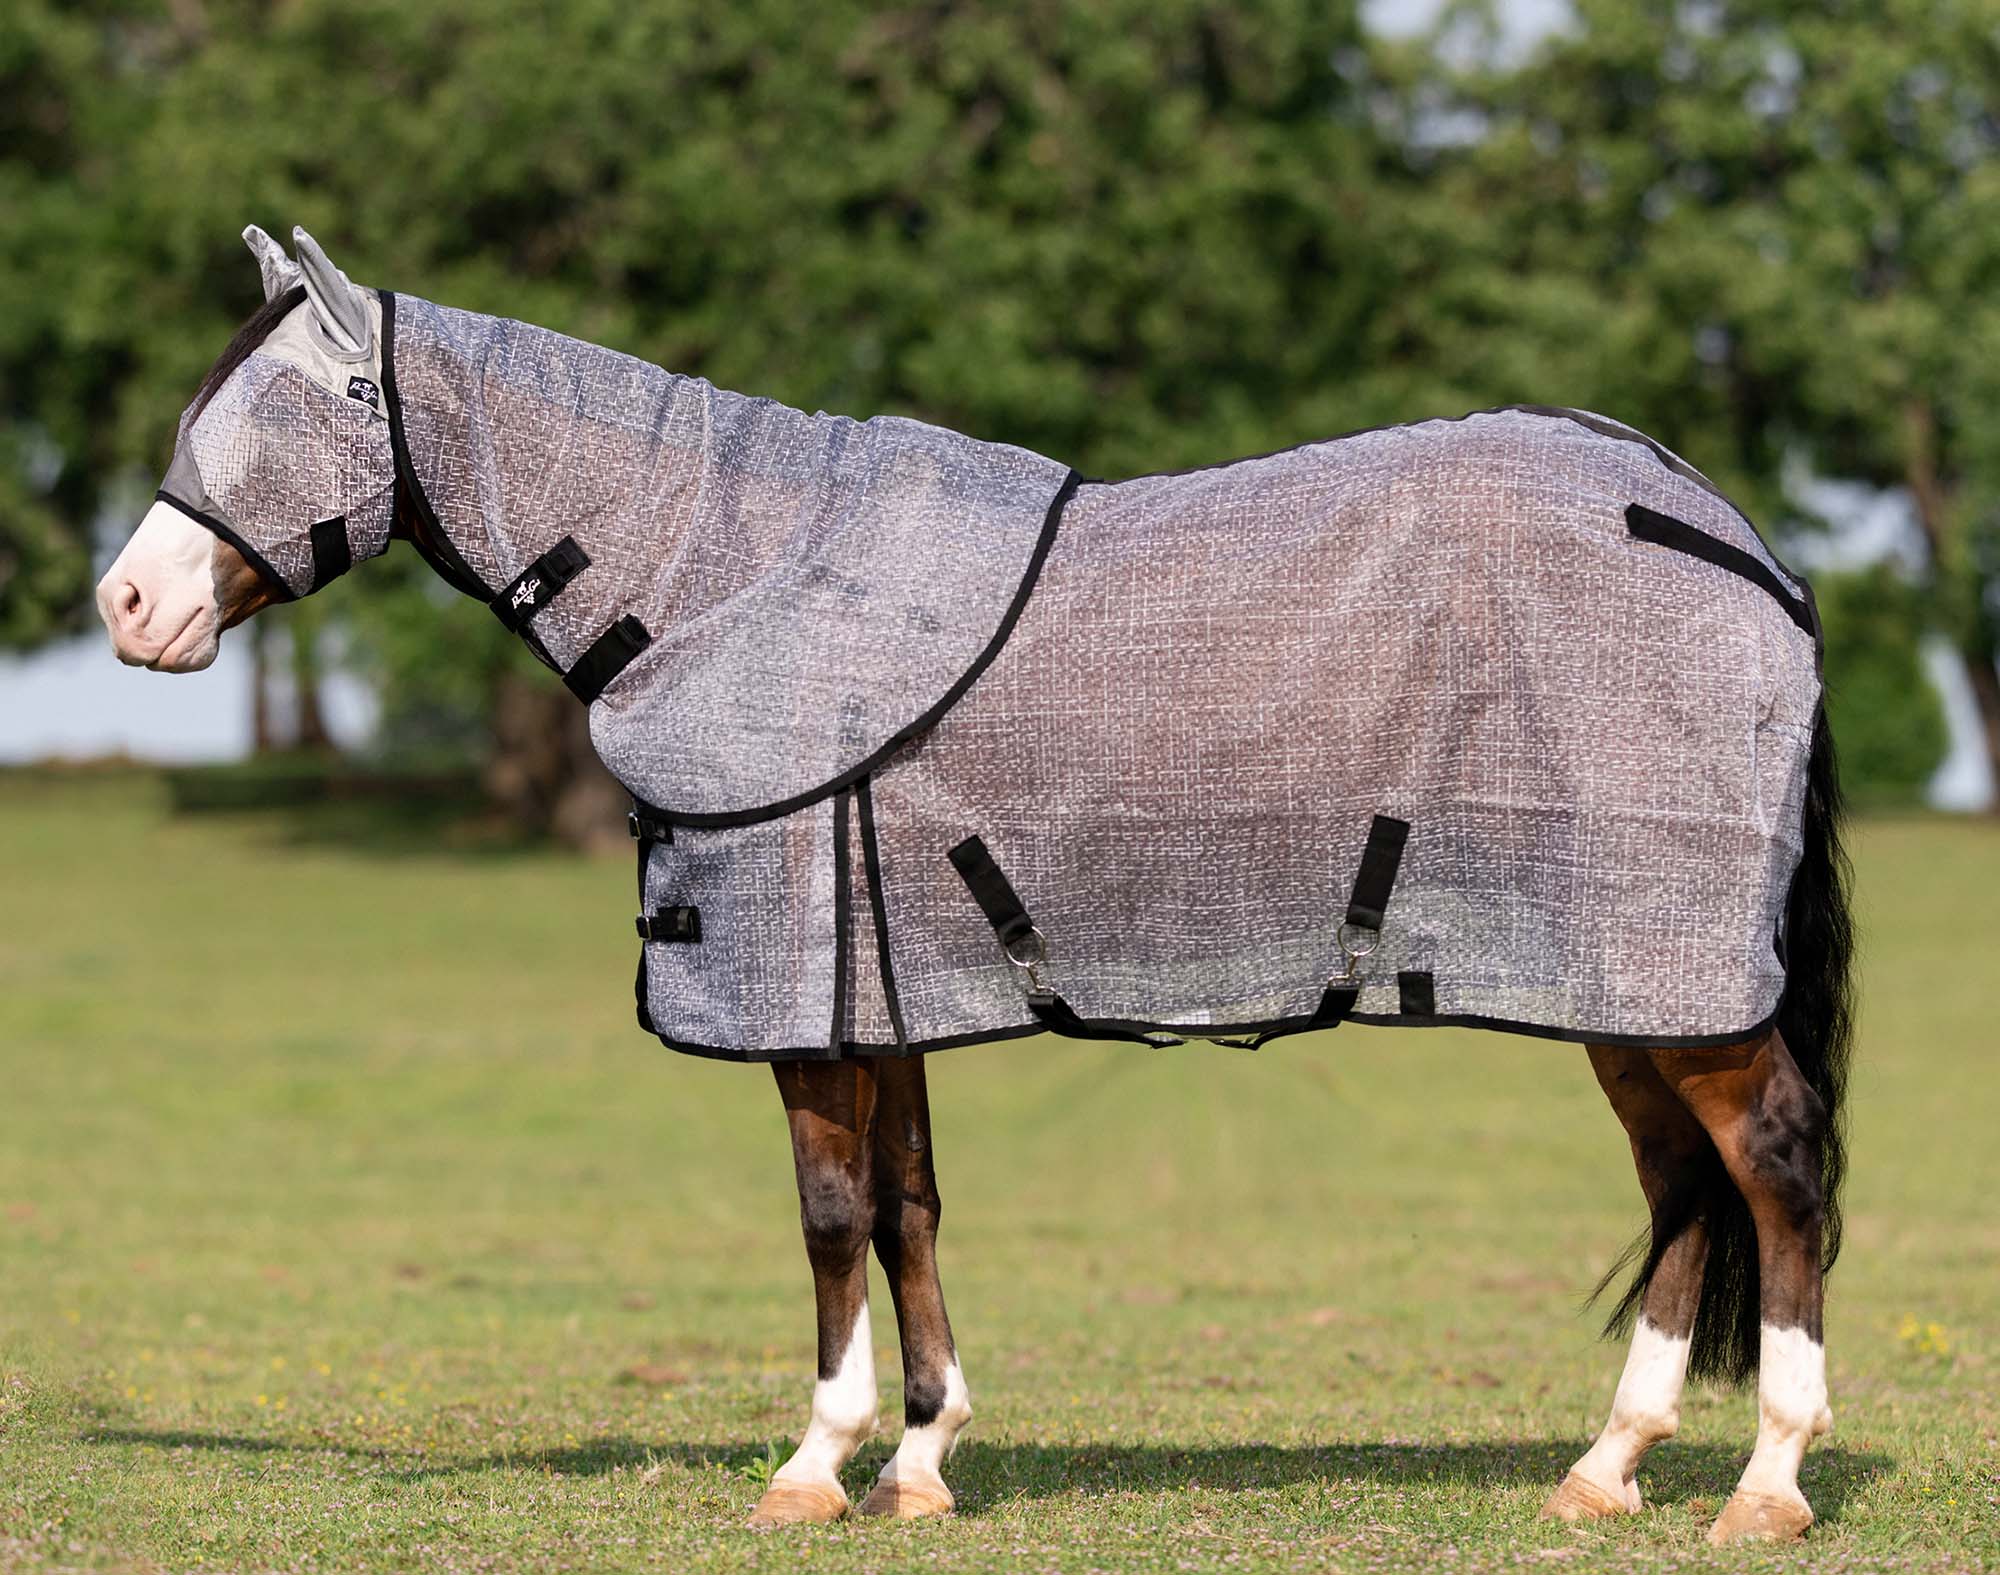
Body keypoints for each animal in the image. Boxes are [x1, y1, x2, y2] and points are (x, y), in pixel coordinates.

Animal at [97, 225, 1852, 1544]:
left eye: (304, 404)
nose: (127, 605)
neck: (732, 572)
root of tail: (1736, 538)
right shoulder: (881, 986)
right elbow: (910, 1207)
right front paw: (925, 1456)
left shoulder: (808, 992)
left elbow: (828, 1215)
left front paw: (816, 1462)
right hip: (1621, 983)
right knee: (1681, 1185)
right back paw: (1605, 1468)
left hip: (1674, 981)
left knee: (1770, 1162)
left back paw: (1765, 1479)